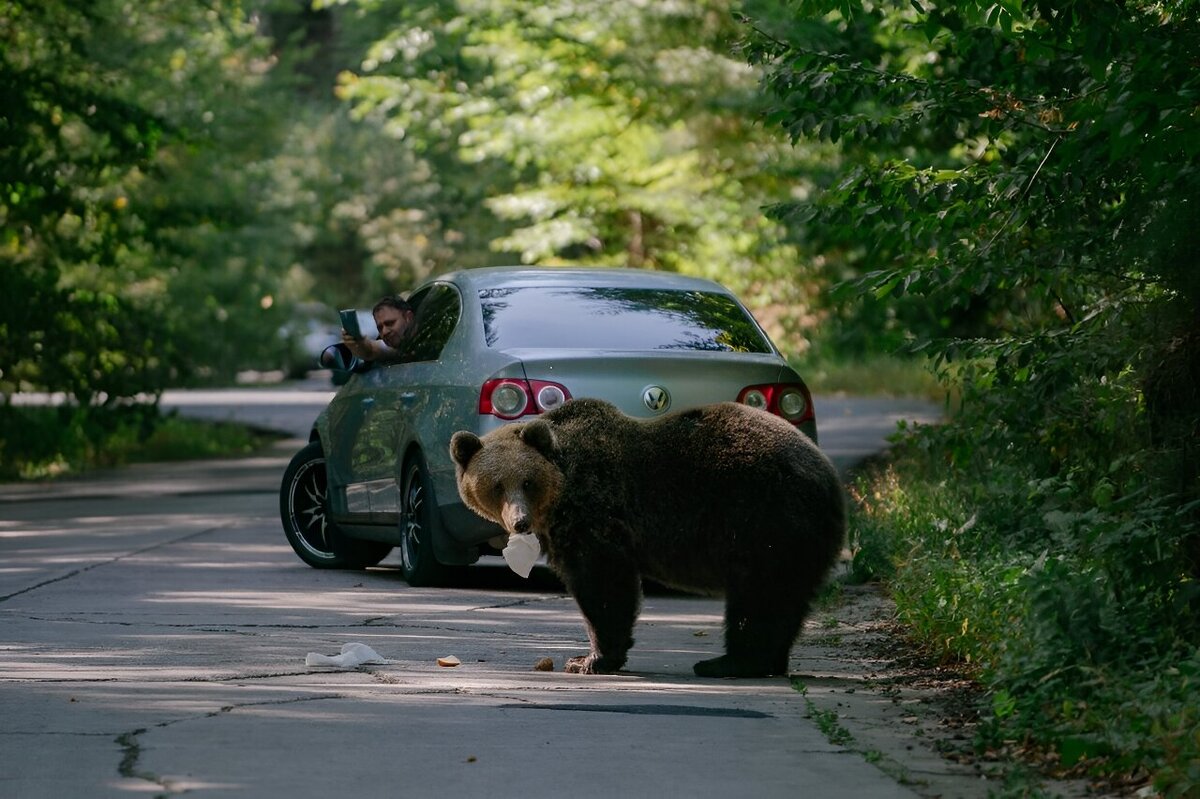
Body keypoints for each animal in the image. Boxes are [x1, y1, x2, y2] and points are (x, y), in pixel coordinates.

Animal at [448, 395, 844, 671]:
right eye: (497, 485)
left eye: (527, 482)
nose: (520, 522)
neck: (562, 494)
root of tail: (828, 474)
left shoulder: (594, 514)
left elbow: (603, 584)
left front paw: (589, 659)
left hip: (765, 518)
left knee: (759, 596)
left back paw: (730, 662)